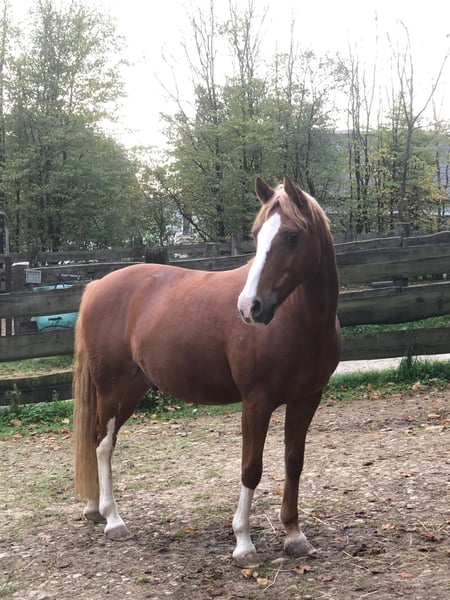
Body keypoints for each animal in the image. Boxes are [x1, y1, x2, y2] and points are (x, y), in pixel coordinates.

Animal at [73, 175, 342, 567]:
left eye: (291, 236)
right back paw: (113, 520)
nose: (249, 307)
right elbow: (251, 468)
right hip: (112, 388)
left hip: (131, 390)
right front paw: (243, 543)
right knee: (104, 444)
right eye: (256, 234)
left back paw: (95, 509)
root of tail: (96, 286)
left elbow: (294, 462)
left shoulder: (307, 399)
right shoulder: (256, 403)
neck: (300, 321)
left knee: (97, 438)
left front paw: (295, 535)